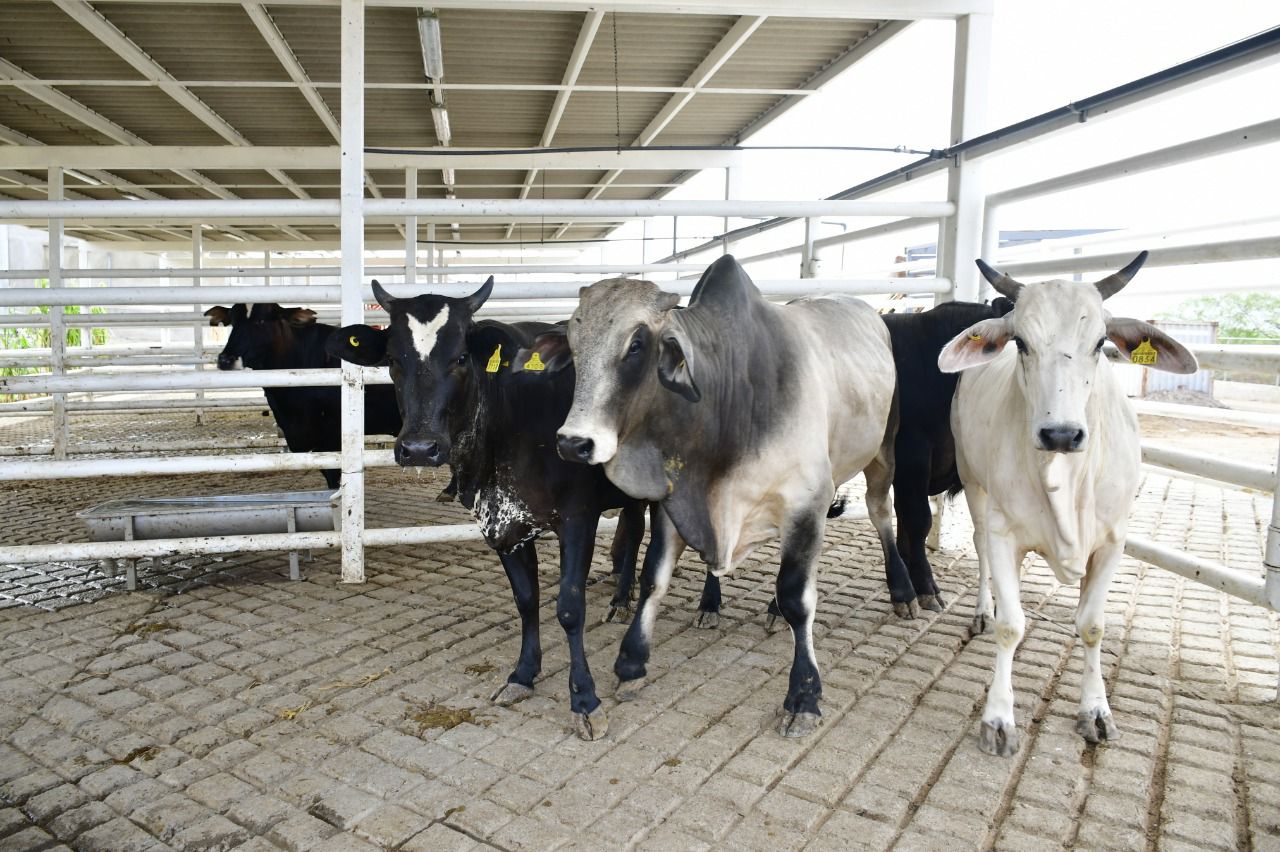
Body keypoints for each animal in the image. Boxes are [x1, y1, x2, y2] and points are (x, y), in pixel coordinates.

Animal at [325, 278, 647, 741]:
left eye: (461, 357)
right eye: (393, 360)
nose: (419, 448)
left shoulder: (578, 517)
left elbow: (569, 609)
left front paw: (585, 700)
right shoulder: (500, 523)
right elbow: (526, 599)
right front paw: (522, 675)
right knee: (634, 529)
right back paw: (623, 598)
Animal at [551, 255, 910, 737]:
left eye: (636, 344)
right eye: (574, 342)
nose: (574, 443)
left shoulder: (806, 503)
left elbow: (799, 598)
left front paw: (804, 695)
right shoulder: (675, 502)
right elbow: (653, 578)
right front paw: (631, 663)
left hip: (883, 451)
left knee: (880, 513)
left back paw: (905, 592)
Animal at [937, 251, 1196, 756]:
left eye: (1100, 342)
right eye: (1020, 341)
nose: (1060, 433)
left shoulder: (1112, 541)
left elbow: (1092, 625)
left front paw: (1095, 710)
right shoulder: (1003, 532)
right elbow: (1011, 625)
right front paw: (998, 718)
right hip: (974, 483)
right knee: (979, 549)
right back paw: (982, 610)